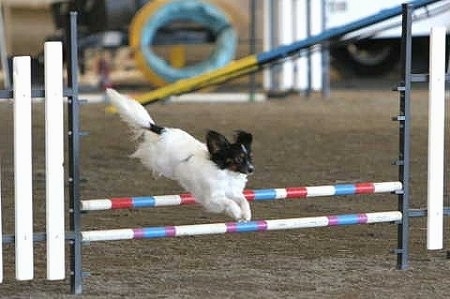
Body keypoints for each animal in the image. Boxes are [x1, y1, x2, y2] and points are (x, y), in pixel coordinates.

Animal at [105, 89, 253, 223]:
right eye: (239, 158)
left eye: (250, 157)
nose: (251, 169)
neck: (227, 174)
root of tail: (164, 131)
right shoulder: (213, 198)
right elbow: (230, 203)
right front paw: (237, 213)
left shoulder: (233, 192)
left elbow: (243, 200)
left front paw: (246, 214)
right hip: (160, 161)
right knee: (146, 153)